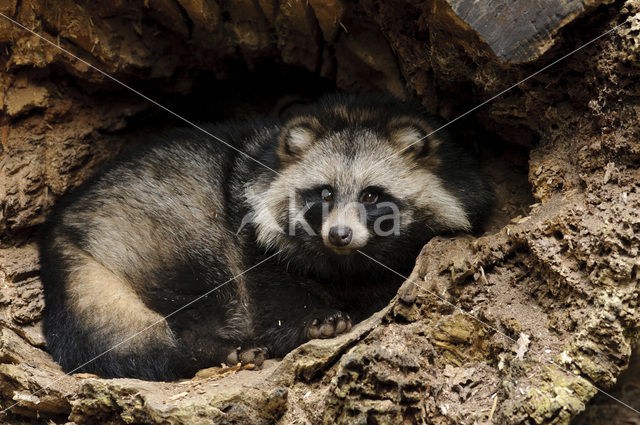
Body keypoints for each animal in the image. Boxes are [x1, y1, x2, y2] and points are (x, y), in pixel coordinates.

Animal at [40, 94, 496, 380]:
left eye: (372, 195)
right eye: (324, 193)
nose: (340, 234)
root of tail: (63, 225)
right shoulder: (246, 225)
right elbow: (266, 290)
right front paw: (314, 320)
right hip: (159, 226)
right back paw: (206, 349)